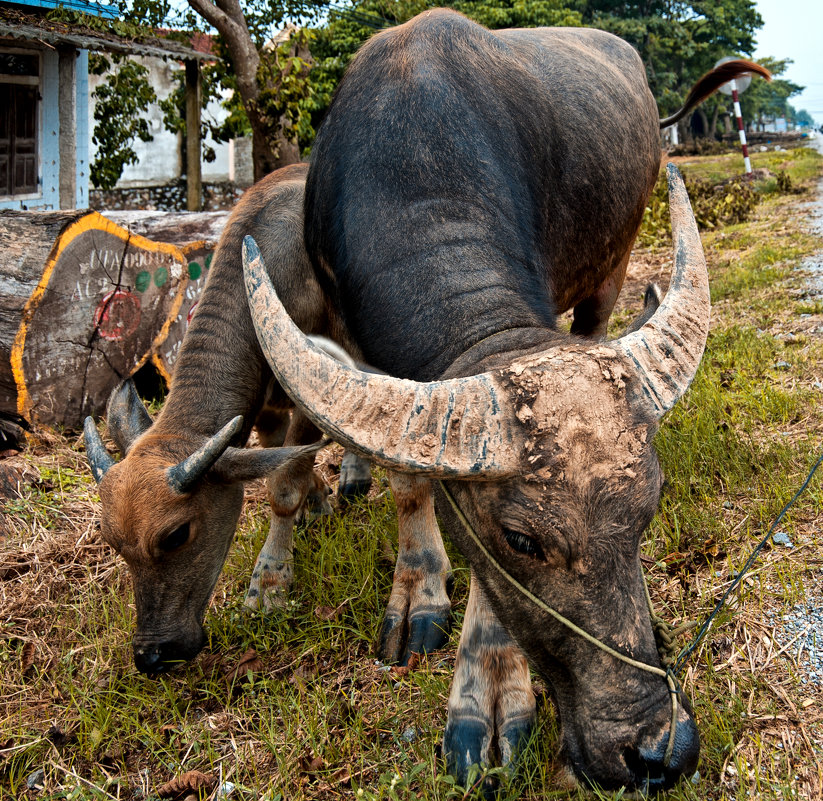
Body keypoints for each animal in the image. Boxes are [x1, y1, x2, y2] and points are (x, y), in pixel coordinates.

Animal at [241, 7, 768, 792]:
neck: (418, 162)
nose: (657, 751)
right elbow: (410, 483)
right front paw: (418, 594)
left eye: (650, 508)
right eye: (521, 539)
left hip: (610, 264)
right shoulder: (350, 333)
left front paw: (490, 696)